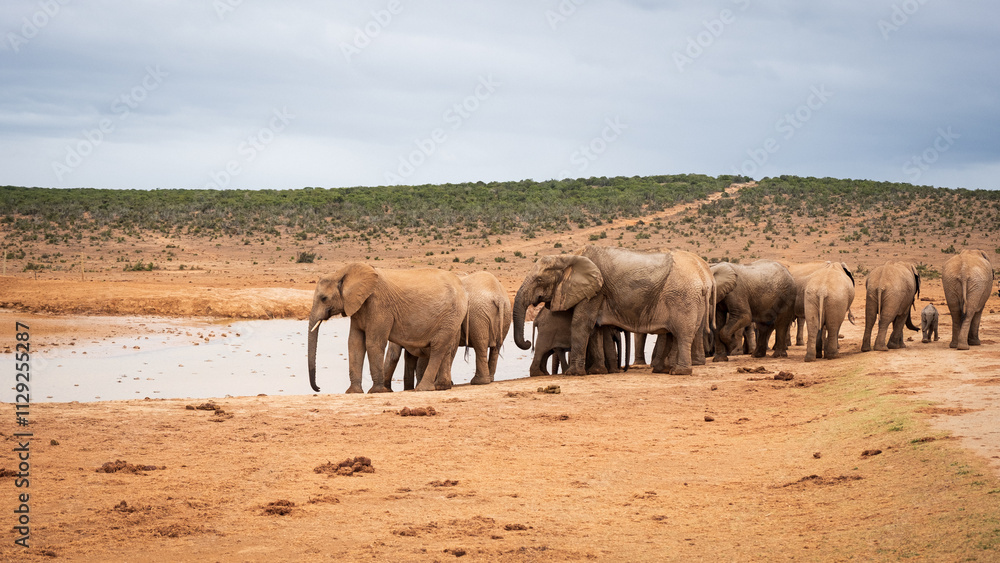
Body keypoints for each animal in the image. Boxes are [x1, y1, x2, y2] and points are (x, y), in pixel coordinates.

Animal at [307, 263, 468, 393]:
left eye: (324, 298)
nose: (319, 388)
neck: (342, 272)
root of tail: (461, 286)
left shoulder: (380, 306)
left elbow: (373, 343)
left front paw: (376, 391)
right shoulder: (358, 306)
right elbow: (354, 343)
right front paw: (353, 392)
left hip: (451, 314)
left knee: (437, 348)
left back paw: (422, 389)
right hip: (451, 317)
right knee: (446, 348)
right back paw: (442, 387)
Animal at [513, 246, 714, 376]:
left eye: (539, 280)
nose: (527, 342)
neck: (569, 257)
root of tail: (703, 280)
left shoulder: (595, 290)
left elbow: (581, 323)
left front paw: (574, 374)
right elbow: (594, 328)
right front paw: (596, 372)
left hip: (683, 298)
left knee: (682, 334)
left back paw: (679, 372)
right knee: (672, 334)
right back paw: (664, 371)